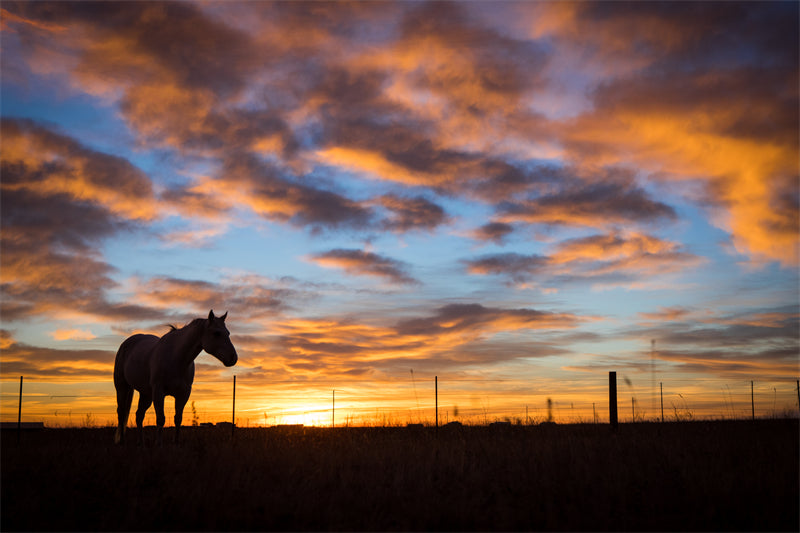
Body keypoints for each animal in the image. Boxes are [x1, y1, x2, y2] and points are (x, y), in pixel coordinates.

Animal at [113, 310, 238, 444]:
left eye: (228, 333)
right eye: (217, 333)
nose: (233, 358)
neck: (176, 358)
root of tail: (128, 342)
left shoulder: (183, 393)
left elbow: (178, 419)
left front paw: (176, 443)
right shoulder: (159, 391)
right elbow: (161, 418)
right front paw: (159, 444)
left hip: (146, 394)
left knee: (139, 415)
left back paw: (140, 442)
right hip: (122, 387)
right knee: (121, 413)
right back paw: (122, 441)